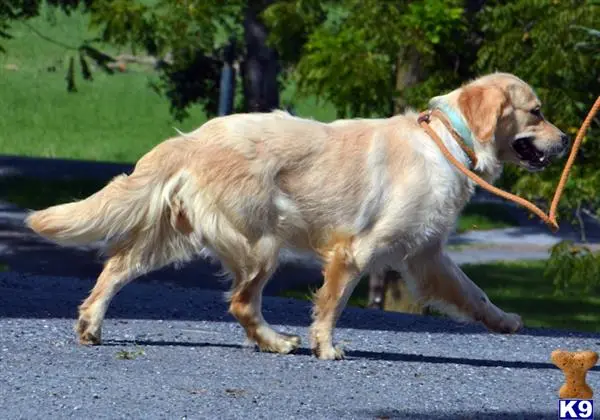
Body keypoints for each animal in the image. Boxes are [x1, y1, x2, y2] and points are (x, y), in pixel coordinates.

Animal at [27, 73, 568, 360]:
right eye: (537, 112)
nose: (565, 140)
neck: (447, 142)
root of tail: (193, 138)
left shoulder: (426, 256)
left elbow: (474, 293)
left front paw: (504, 321)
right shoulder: (356, 251)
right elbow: (331, 304)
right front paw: (325, 347)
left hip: (178, 238)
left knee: (116, 269)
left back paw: (90, 325)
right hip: (261, 245)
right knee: (242, 304)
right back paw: (277, 341)